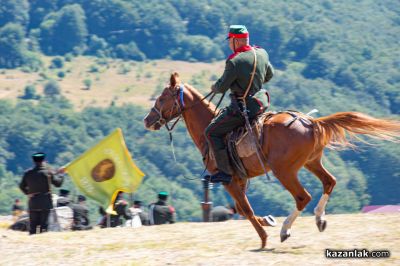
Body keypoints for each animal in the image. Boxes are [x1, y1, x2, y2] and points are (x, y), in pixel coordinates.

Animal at [144, 71, 400, 248]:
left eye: (162, 97)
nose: (147, 120)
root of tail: (311, 122)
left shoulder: (228, 180)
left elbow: (246, 209)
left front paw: (264, 237)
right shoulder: (239, 180)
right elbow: (241, 208)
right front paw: (266, 221)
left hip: (284, 171)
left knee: (303, 197)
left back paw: (285, 231)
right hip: (312, 162)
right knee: (329, 182)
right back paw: (319, 219)